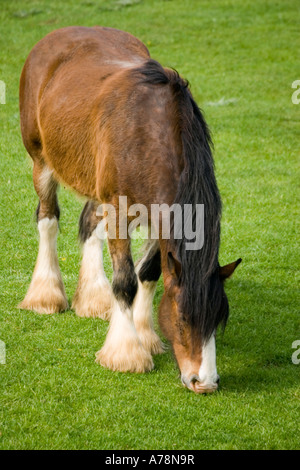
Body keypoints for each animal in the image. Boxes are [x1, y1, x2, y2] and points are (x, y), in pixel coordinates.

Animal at [19, 25, 241, 392]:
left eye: (218, 319)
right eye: (183, 317)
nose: (205, 382)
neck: (149, 134)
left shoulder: (157, 215)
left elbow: (148, 273)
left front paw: (146, 336)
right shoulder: (122, 211)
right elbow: (126, 281)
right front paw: (126, 353)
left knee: (90, 224)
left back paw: (94, 299)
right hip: (41, 160)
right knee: (47, 221)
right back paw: (46, 296)